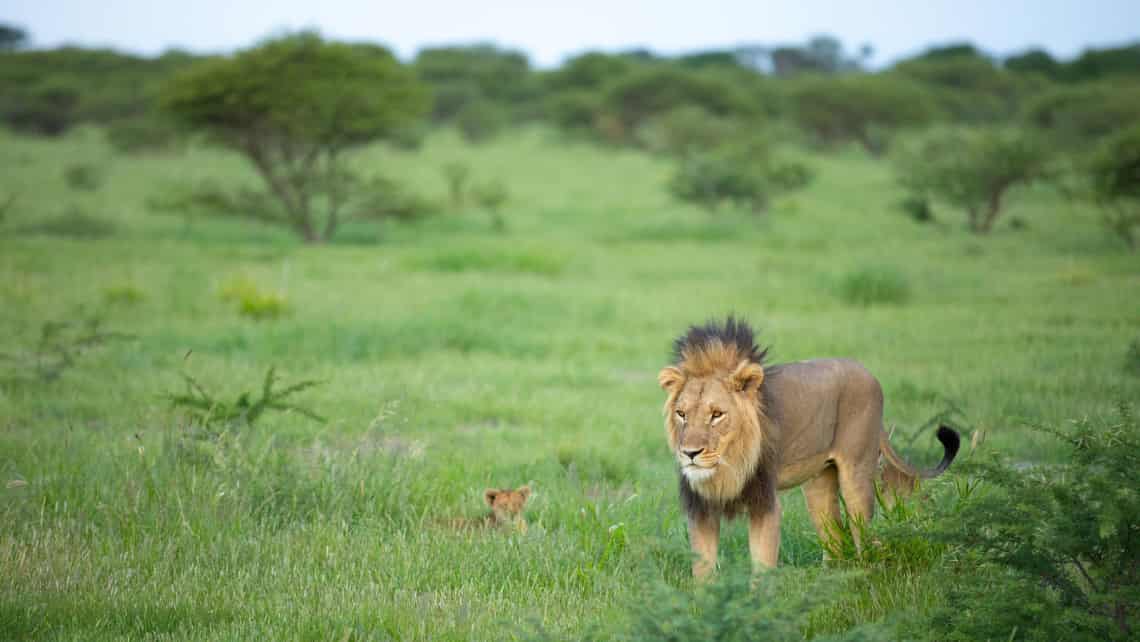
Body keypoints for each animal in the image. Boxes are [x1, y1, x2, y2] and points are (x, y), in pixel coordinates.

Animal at [656, 317, 957, 577]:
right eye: (681, 414)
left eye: (717, 414)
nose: (690, 453)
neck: (726, 467)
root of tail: (868, 373)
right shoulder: (700, 508)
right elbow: (702, 571)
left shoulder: (765, 503)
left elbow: (762, 568)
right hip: (819, 484)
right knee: (836, 540)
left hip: (856, 476)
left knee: (864, 538)